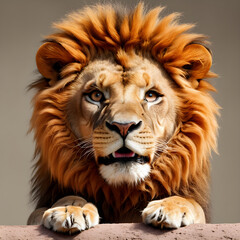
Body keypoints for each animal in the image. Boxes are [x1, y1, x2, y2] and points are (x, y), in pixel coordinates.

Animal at [27, 2, 218, 233]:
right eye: (96, 95)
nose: (124, 127)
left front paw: (169, 207)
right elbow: (54, 205)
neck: (123, 191)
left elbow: (191, 203)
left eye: (151, 95)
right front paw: (69, 209)